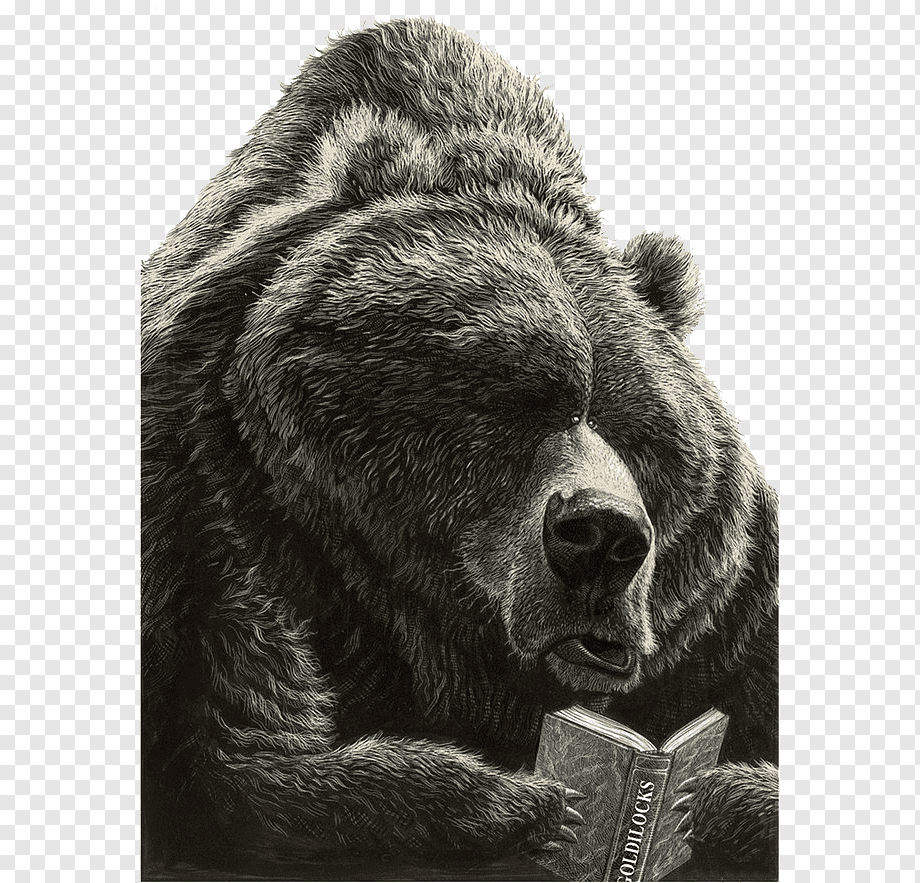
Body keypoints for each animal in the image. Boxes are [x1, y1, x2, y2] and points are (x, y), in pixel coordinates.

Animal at [141, 17, 778, 880]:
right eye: (511, 391)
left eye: (639, 430)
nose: (601, 537)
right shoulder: (217, 501)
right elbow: (248, 759)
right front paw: (525, 799)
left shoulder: (723, 609)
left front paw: (706, 795)